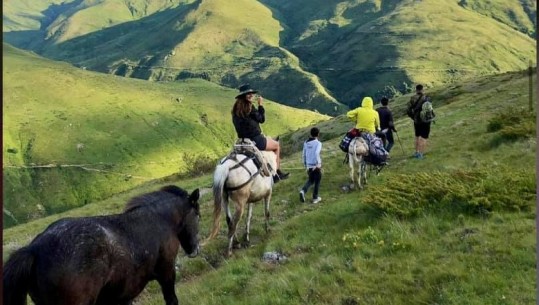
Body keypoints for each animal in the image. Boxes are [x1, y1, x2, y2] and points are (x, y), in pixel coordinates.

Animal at [2, 183, 200, 304]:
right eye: (198, 215)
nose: (195, 249)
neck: (159, 219)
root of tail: (34, 249)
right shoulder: (167, 273)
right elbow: (171, 299)